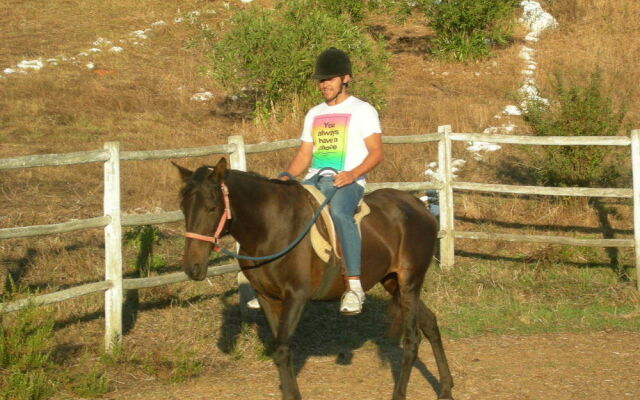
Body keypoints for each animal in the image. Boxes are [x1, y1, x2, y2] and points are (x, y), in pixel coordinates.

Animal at [175, 158, 456, 398]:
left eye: (212, 207)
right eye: (183, 208)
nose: (192, 267)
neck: (271, 228)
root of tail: (420, 207)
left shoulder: (296, 296)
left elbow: (282, 350)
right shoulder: (267, 297)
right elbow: (280, 350)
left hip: (409, 282)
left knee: (412, 339)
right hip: (393, 282)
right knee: (430, 323)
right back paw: (445, 387)